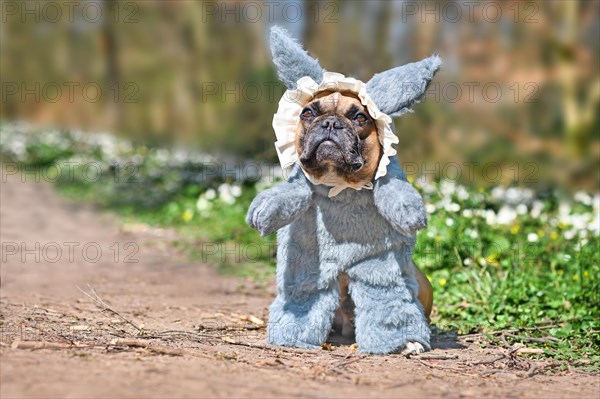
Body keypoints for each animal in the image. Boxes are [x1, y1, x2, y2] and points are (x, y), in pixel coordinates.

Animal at [245, 26, 440, 354]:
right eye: (308, 113)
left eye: (360, 117)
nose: (331, 123)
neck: (340, 184)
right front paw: (263, 210)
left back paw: (406, 342)